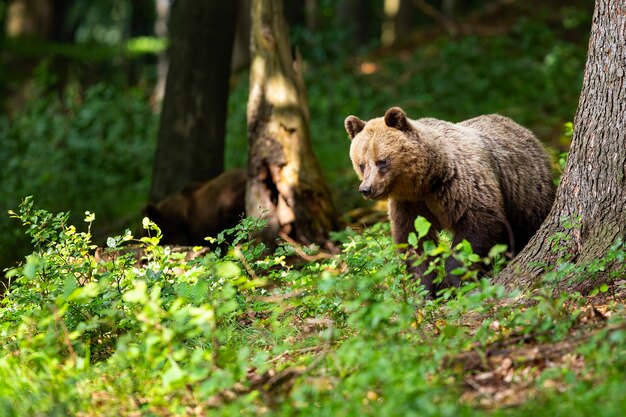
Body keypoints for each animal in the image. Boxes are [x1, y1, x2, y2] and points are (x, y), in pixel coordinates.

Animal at [344, 106, 552, 296]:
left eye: (381, 161)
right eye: (361, 164)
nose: (366, 189)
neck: (426, 180)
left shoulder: (459, 187)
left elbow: (474, 231)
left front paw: (453, 281)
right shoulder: (409, 205)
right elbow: (414, 244)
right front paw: (424, 290)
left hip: (524, 191)